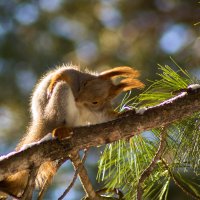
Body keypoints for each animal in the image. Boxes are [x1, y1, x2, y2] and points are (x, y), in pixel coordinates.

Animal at [0, 65, 145, 198]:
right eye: (86, 83)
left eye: (95, 101)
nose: (77, 99)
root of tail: (44, 120)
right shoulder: (76, 76)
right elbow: (63, 73)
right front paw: (52, 82)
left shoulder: (99, 112)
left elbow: (106, 117)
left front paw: (123, 114)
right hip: (57, 103)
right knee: (62, 87)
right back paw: (59, 130)